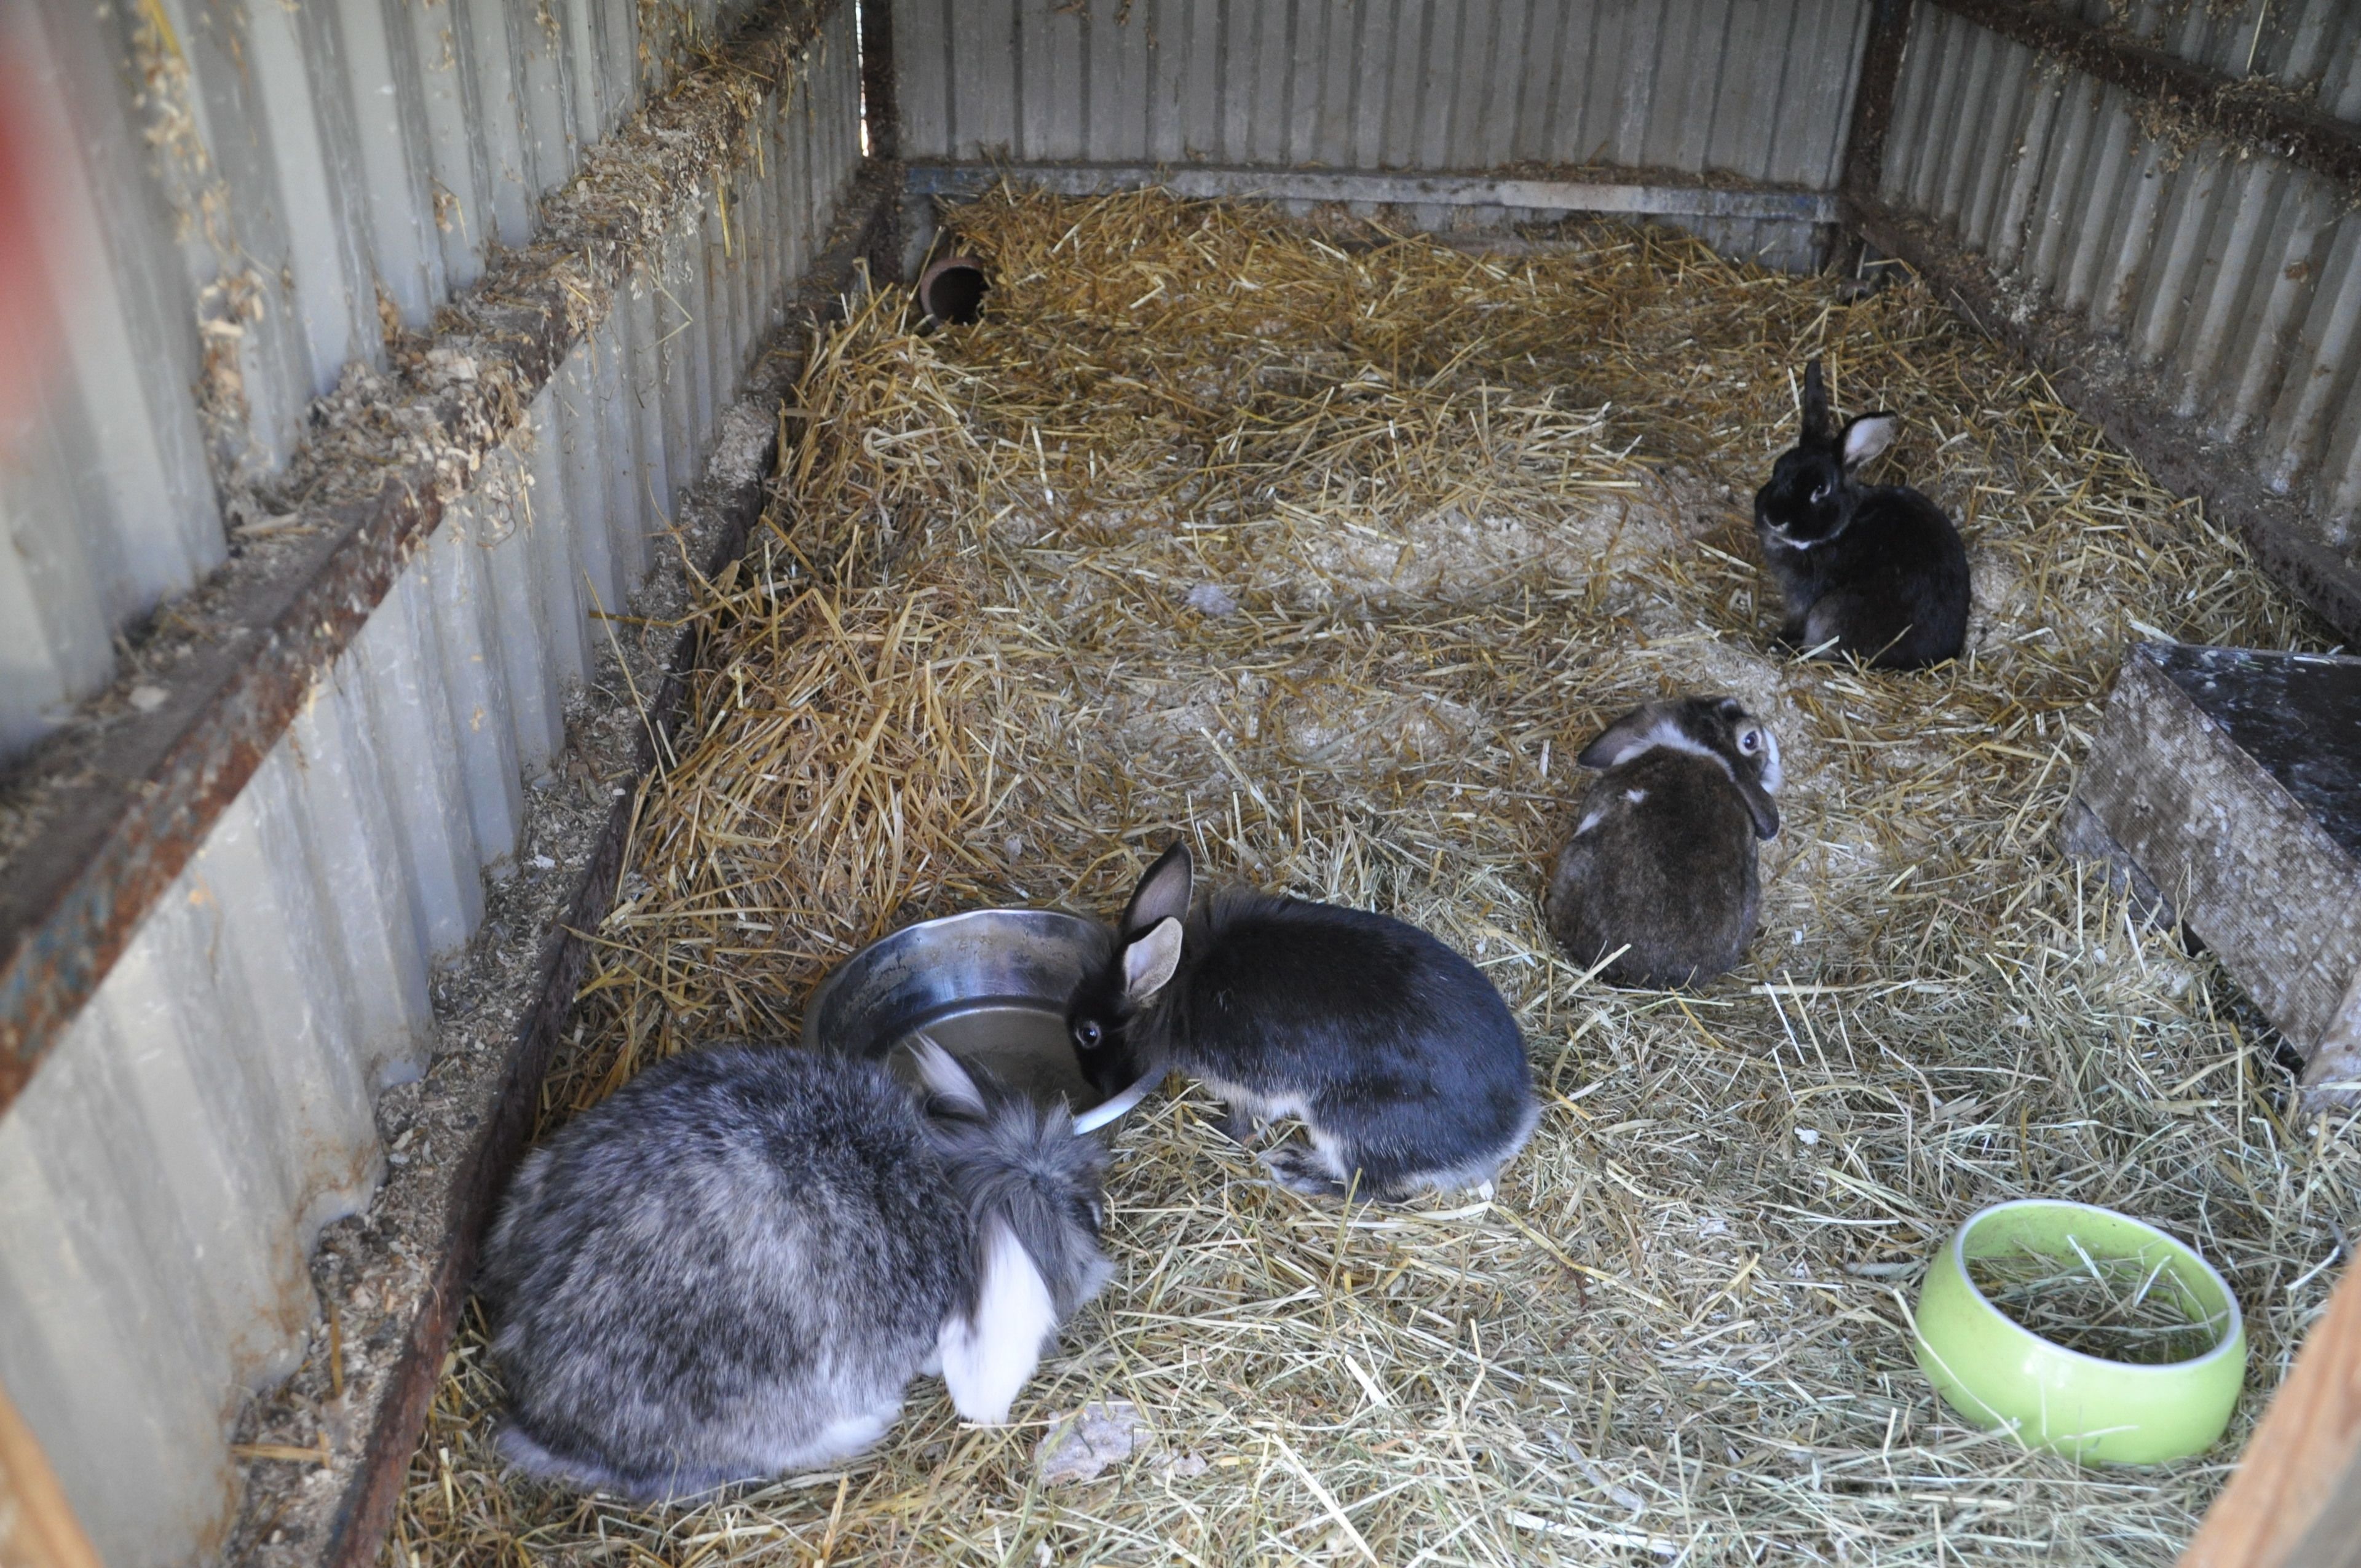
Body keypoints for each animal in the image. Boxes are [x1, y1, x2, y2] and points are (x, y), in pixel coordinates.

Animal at [1063, 841, 1539, 1203]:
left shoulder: (1254, 1084)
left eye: (1089, 1033)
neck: (1180, 986)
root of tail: (1511, 1126)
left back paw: (1293, 1168)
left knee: (1373, 1190)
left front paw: (1219, 1132)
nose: (1095, 1086)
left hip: (1349, 1123)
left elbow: (1249, 1121)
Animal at [1754, 358, 1969, 669]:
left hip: (1830, 615)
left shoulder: (1803, 600)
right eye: (1777, 469)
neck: (1842, 528)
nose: (1774, 519)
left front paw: (1778, 643)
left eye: (1821, 489)